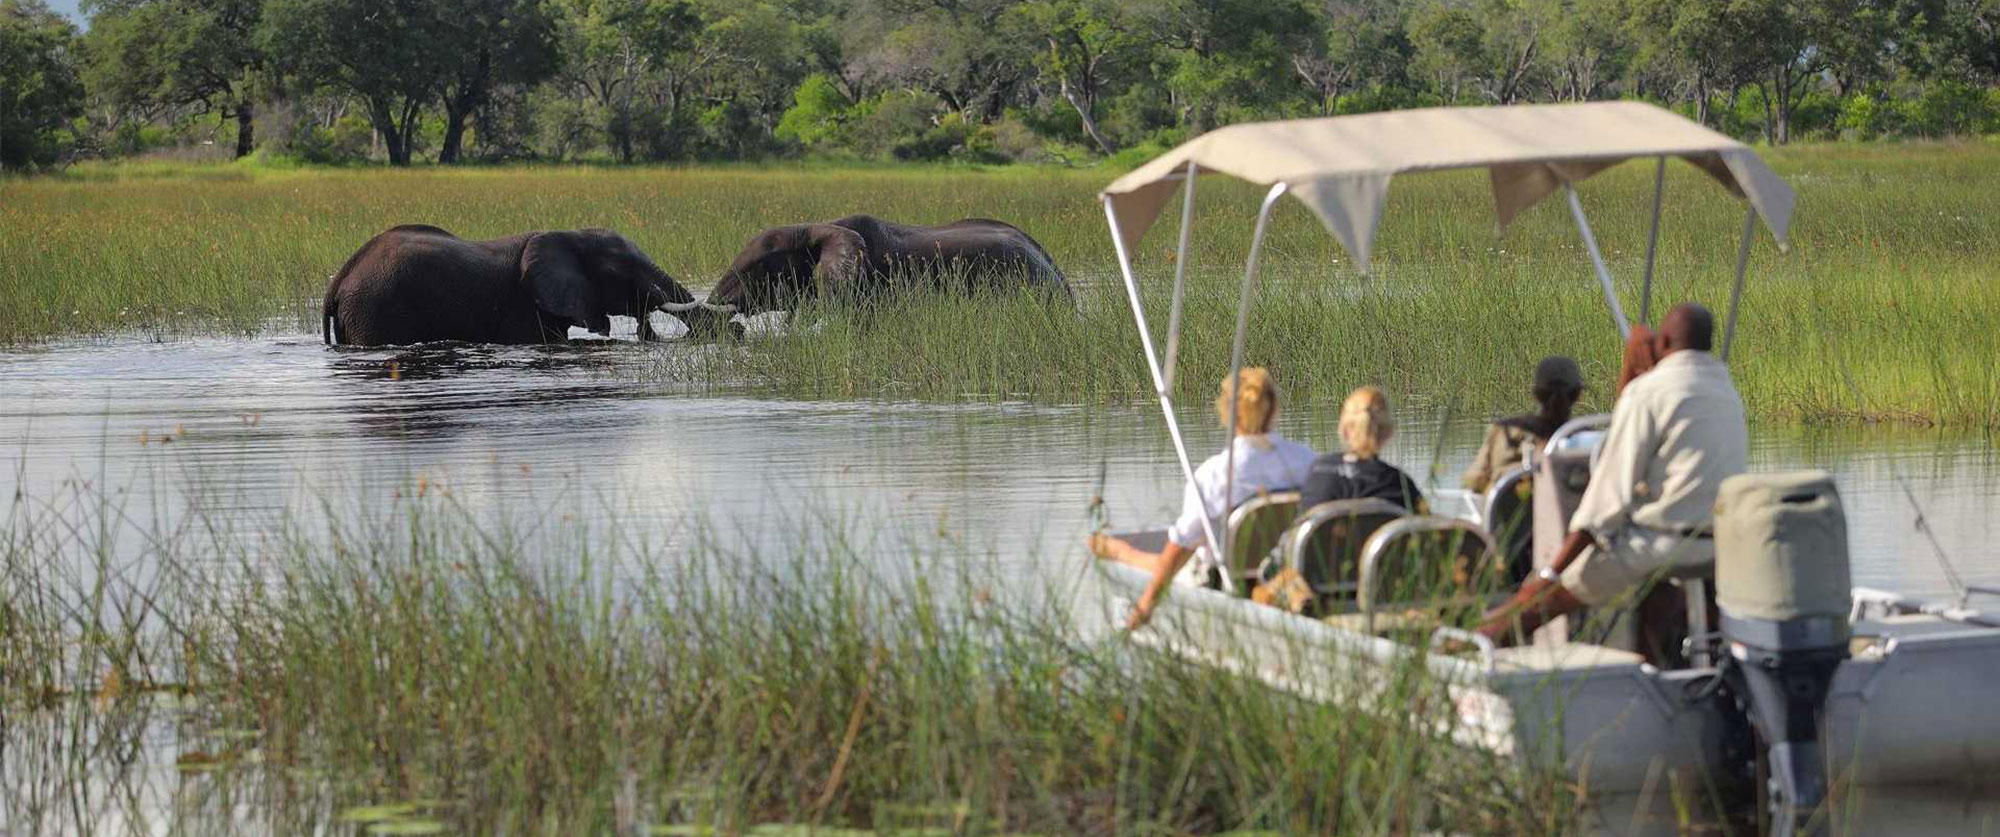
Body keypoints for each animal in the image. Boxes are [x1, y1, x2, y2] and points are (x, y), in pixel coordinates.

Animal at [324, 222, 740, 346]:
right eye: (624, 271)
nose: (736, 330)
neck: (568, 234)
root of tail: (341, 276)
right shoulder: (523, 306)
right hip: (377, 306)